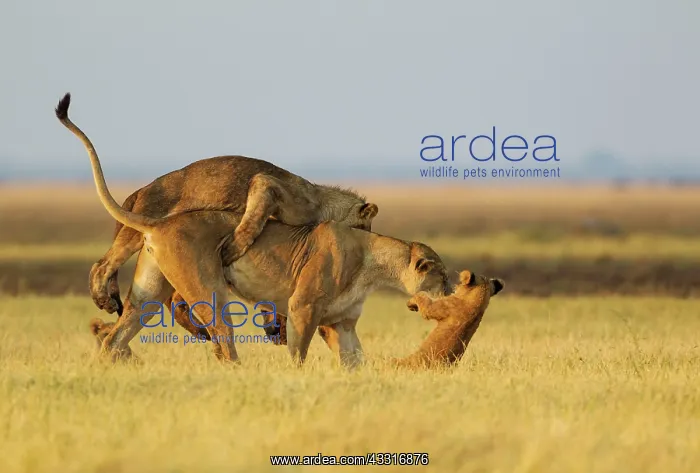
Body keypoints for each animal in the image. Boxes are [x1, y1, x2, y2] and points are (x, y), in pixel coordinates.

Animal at [56, 94, 378, 317]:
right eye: (366, 227)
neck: (324, 202)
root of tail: (140, 190)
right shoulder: (269, 186)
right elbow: (253, 219)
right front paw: (233, 248)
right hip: (140, 225)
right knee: (102, 264)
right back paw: (103, 299)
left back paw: (111, 299)